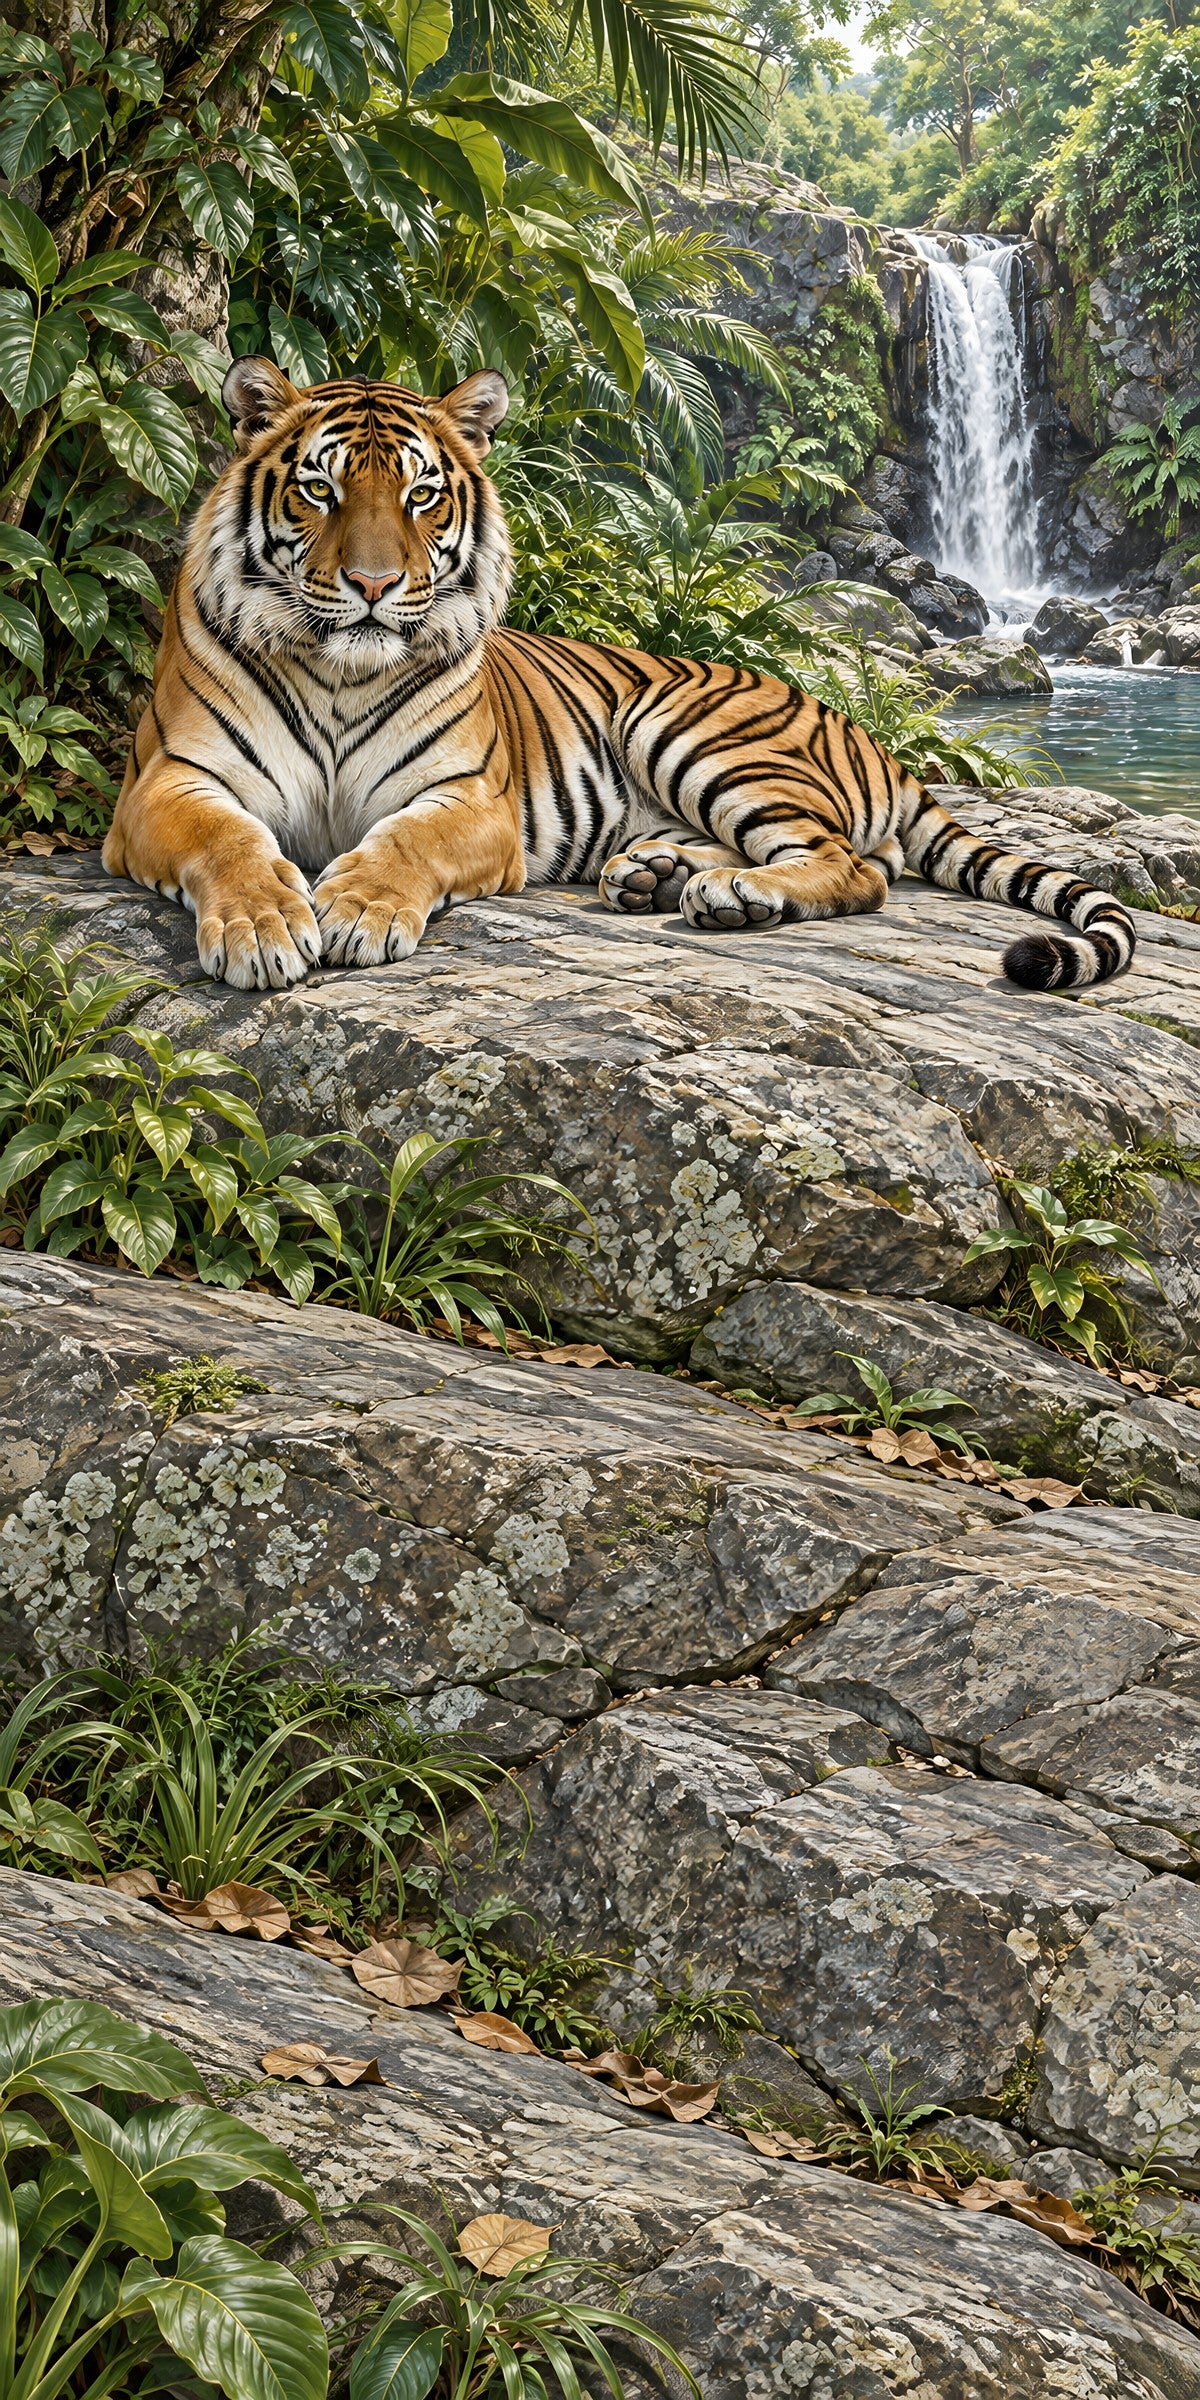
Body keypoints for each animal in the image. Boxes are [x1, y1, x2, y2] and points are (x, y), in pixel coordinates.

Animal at [105, 355, 1136, 997]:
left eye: (422, 495)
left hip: (691, 729)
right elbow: (230, 842)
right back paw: (657, 875)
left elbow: (404, 844)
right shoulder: (167, 783)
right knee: (853, 856)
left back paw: (726, 893)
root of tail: (863, 731)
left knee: (853, 865)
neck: (338, 672)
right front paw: (262, 925)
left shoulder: (469, 799)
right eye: (319, 490)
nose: (372, 584)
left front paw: (356, 910)